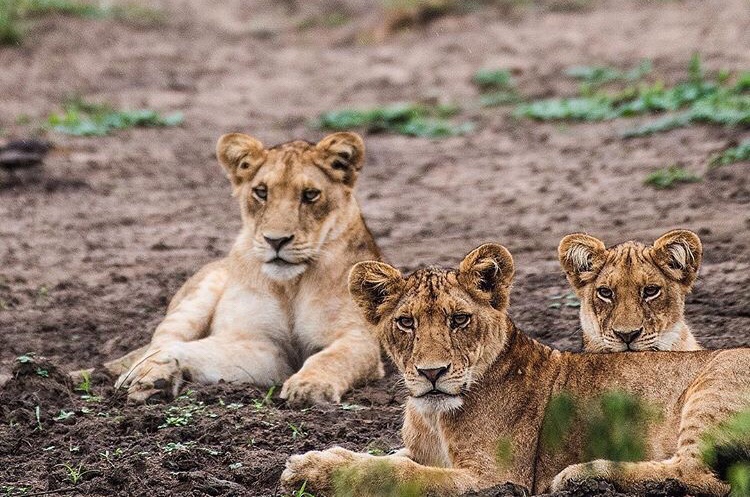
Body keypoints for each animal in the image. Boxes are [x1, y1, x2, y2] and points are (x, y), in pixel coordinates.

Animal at [97, 131, 384, 405]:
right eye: (261, 192)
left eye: (310, 194)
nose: (276, 240)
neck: (290, 285)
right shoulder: (263, 345)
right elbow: (179, 347)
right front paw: (144, 373)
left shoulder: (358, 339)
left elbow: (331, 358)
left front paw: (310, 386)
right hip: (197, 297)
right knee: (161, 341)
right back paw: (148, 379)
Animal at [282, 243, 749, 495]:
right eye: (406, 322)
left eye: (459, 319)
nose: (432, 373)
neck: (433, 416)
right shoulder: (423, 452)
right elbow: (381, 458)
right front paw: (319, 459)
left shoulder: (497, 477)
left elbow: (395, 473)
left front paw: (309, 470)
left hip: (715, 382)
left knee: (701, 476)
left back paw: (581, 477)